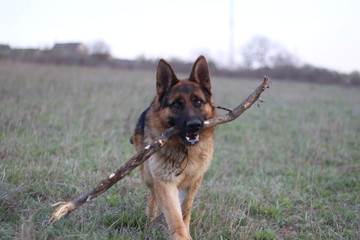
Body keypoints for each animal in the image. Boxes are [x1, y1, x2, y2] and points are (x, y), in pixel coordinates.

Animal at [132, 55, 217, 238]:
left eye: (198, 102)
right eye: (177, 104)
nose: (194, 125)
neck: (185, 149)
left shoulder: (194, 181)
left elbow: (185, 211)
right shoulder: (165, 183)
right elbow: (175, 218)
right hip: (148, 175)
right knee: (152, 194)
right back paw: (150, 218)